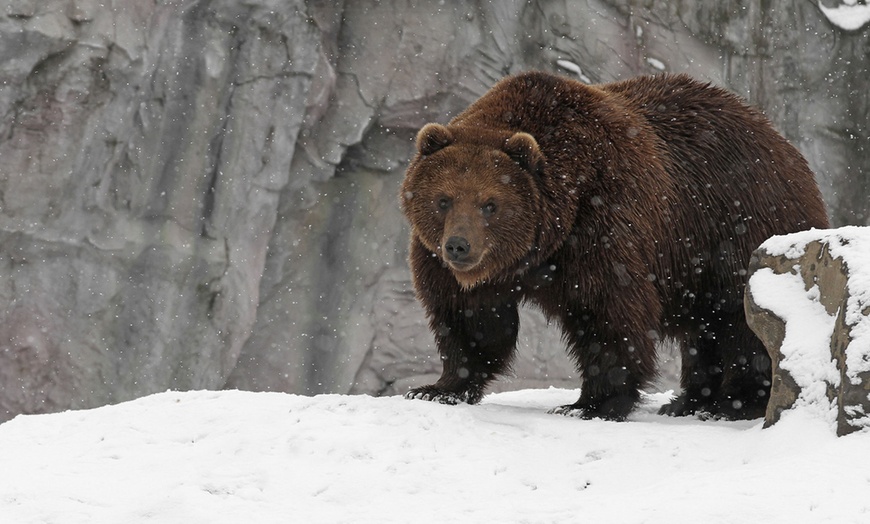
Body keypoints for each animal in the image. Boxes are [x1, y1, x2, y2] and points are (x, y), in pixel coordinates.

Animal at [402, 70, 832, 422]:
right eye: (443, 200)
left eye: (490, 204)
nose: (459, 246)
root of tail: (785, 146)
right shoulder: (450, 263)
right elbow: (471, 319)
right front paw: (436, 388)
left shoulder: (604, 225)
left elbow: (608, 312)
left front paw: (591, 403)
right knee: (703, 329)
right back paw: (689, 401)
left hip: (735, 227)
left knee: (739, 320)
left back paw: (733, 402)